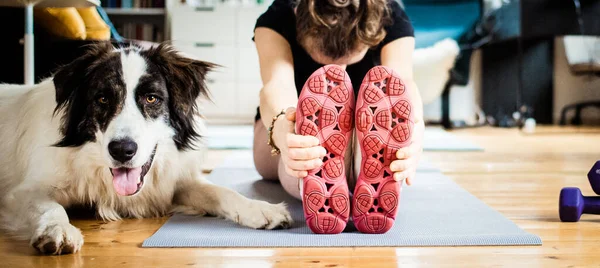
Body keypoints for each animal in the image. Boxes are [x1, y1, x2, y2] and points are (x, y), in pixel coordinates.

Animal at [0, 43, 292, 254]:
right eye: (102, 99)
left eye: (151, 98)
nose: (122, 150)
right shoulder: (20, 193)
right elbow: (50, 207)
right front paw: (57, 231)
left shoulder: (173, 182)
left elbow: (221, 191)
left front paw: (261, 209)